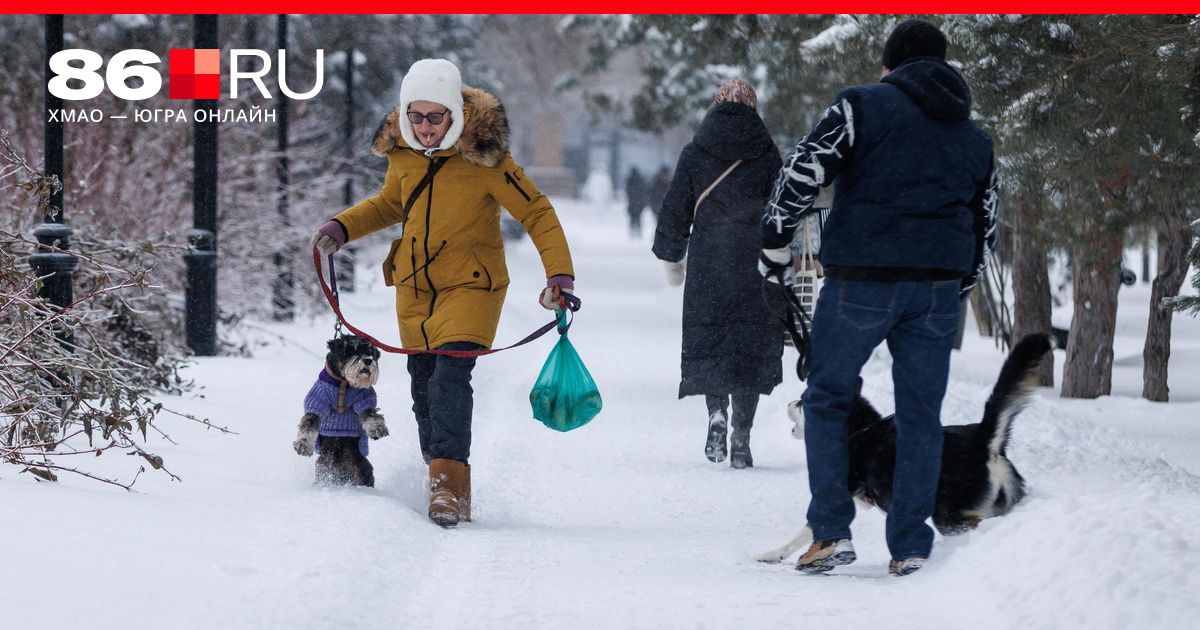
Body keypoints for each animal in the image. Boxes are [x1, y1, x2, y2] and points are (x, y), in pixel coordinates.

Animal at [292, 333, 386, 487]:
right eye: (351, 350)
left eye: (370, 352)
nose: (367, 360)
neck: (343, 382)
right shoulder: (316, 402)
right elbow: (308, 424)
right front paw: (303, 445)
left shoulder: (364, 399)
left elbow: (370, 415)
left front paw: (377, 429)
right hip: (324, 467)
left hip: (362, 468)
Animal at [758, 331, 1051, 561]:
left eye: (801, 399)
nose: (788, 404)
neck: (855, 429)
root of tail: (982, 439)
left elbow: (806, 530)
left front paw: (773, 554)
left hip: (948, 514)